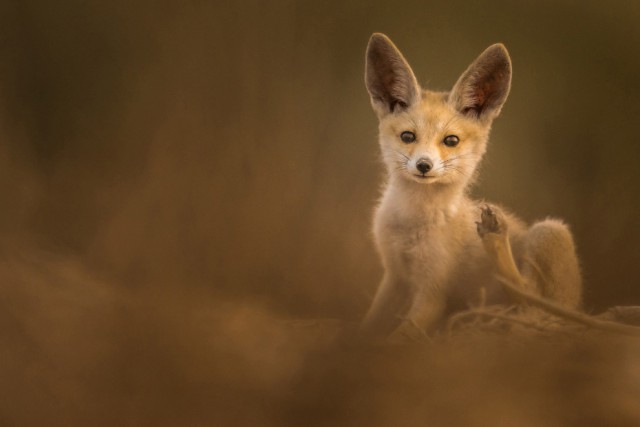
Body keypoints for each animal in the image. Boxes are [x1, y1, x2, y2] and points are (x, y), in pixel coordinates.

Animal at [362, 33, 584, 340]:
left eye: (451, 140)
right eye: (408, 136)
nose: (423, 165)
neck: (413, 224)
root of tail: (578, 309)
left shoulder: (434, 291)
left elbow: (399, 337)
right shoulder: (394, 276)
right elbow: (367, 325)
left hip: (550, 231)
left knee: (530, 297)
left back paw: (496, 240)